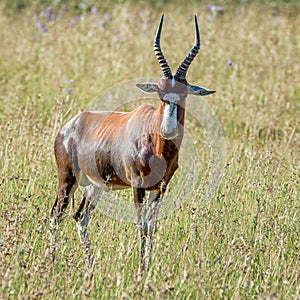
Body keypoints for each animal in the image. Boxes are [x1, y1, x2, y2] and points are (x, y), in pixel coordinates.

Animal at [49, 14, 214, 272]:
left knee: (80, 217)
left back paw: (90, 267)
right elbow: (141, 225)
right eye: (160, 94)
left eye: (184, 94)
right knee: (56, 214)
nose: (168, 130)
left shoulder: (160, 188)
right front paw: (141, 269)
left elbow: (151, 225)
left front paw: (147, 267)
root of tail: (69, 126)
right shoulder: (137, 185)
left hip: (94, 186)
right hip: (67, 179)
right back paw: (52, 262)